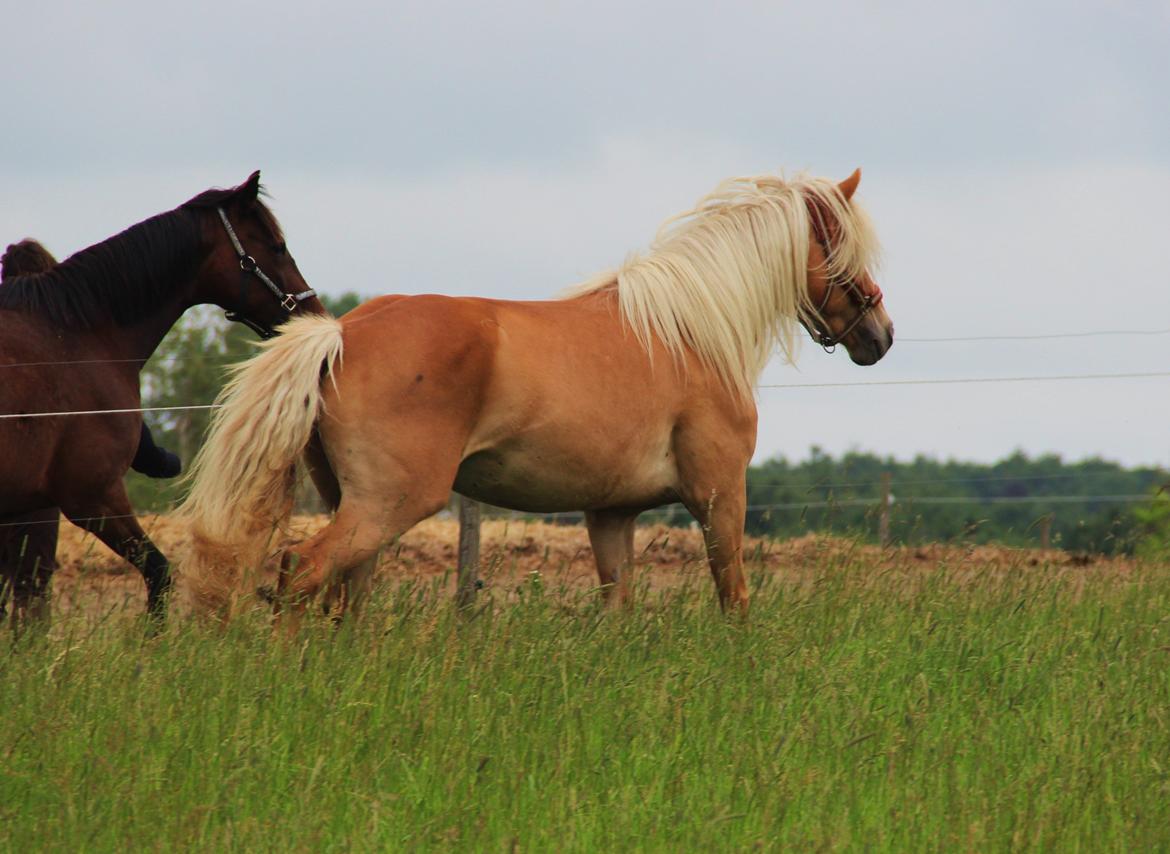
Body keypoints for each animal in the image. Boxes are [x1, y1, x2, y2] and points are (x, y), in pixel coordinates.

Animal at [180, 166, 893, 622]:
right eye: (842, 245)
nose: (880, 334)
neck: (689, 328)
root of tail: (340, 333)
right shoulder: (720, 496)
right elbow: (735, 602)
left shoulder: (611, 515)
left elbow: (617, 614)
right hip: (386, 505)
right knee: (299, 573)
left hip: (352, 505)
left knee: (342, 600)